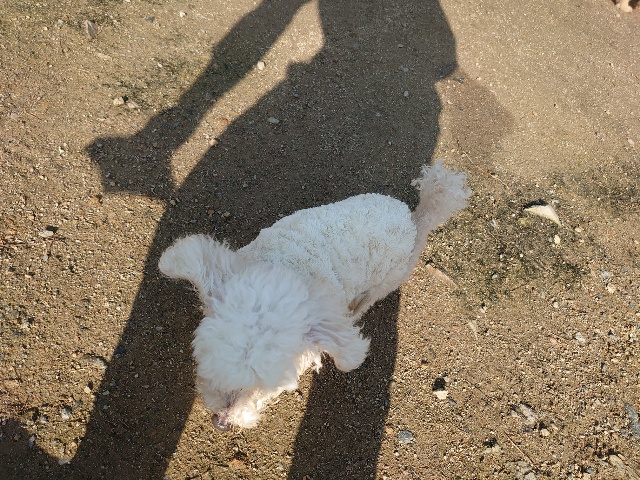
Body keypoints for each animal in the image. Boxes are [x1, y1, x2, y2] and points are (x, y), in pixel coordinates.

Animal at [159, 160, 470, 430]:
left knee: (369, 298)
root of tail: (413, 218)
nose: (221, 422)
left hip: (388, 279)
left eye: (266, 387)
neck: (285, 264)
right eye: (211, 368)